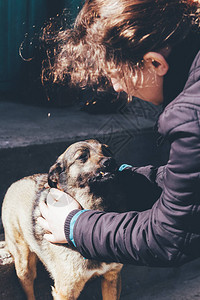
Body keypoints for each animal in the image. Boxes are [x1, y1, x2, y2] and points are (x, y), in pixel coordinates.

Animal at [1, 141, 123, 300]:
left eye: (107, 151)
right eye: (82, 156)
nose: (110, 161)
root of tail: (15, 183)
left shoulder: (112, 277)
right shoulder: (65, 291)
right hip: (24, 265)